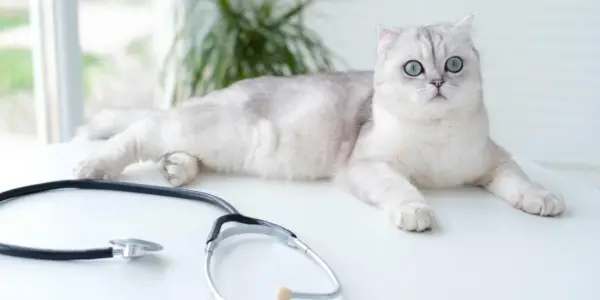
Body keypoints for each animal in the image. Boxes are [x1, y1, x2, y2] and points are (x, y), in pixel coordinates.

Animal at [72, 14, 564, 232]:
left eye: (455, 64)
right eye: (414, 69)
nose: (439, 81)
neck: (437, 136)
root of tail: (217, 93)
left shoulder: (495, 160)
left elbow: (520, 181)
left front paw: (543, 199)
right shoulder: (369, 165)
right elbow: (402, 188)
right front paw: (415, 211)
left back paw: (177, 169)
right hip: (202, 130)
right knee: (135, 135)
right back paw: (92, 167)